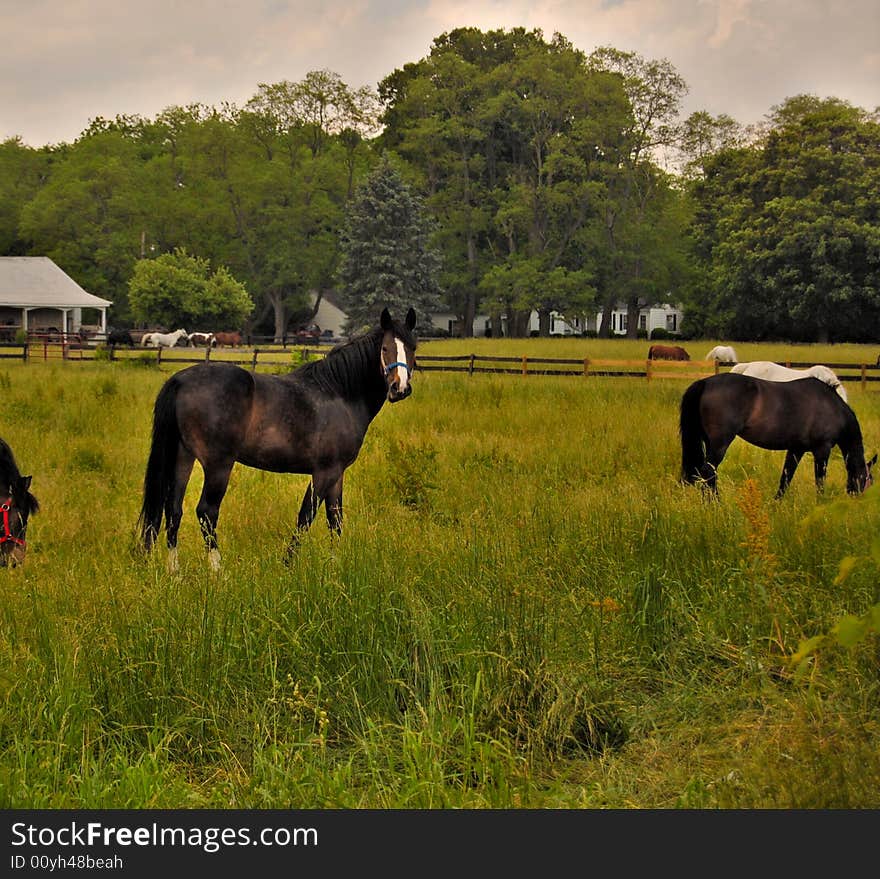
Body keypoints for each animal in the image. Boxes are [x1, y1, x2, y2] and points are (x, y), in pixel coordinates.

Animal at [138, 308, 420, 572]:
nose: (400, 388)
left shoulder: (337, 473)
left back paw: (175, 572)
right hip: (218, 465)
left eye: (412, 348)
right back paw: (219, 572)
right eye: (385, 348)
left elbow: (335, 519)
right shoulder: (324, 472)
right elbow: (306, 517)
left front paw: (335, 566)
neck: (340, 394)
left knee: (173, 510)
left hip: (183, 457)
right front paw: (288, 565)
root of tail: (181, 380)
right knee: (206, 511)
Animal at [680, 372, 872, 498]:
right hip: (720, 444)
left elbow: (786, 477)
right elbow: (819, 481)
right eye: (868, 479)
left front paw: (776, 503)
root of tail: (706, 383)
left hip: (708, 442)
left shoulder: (796, 449)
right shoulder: (822, 450)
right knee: (708, 472)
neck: (832, 407)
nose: (858, 499)